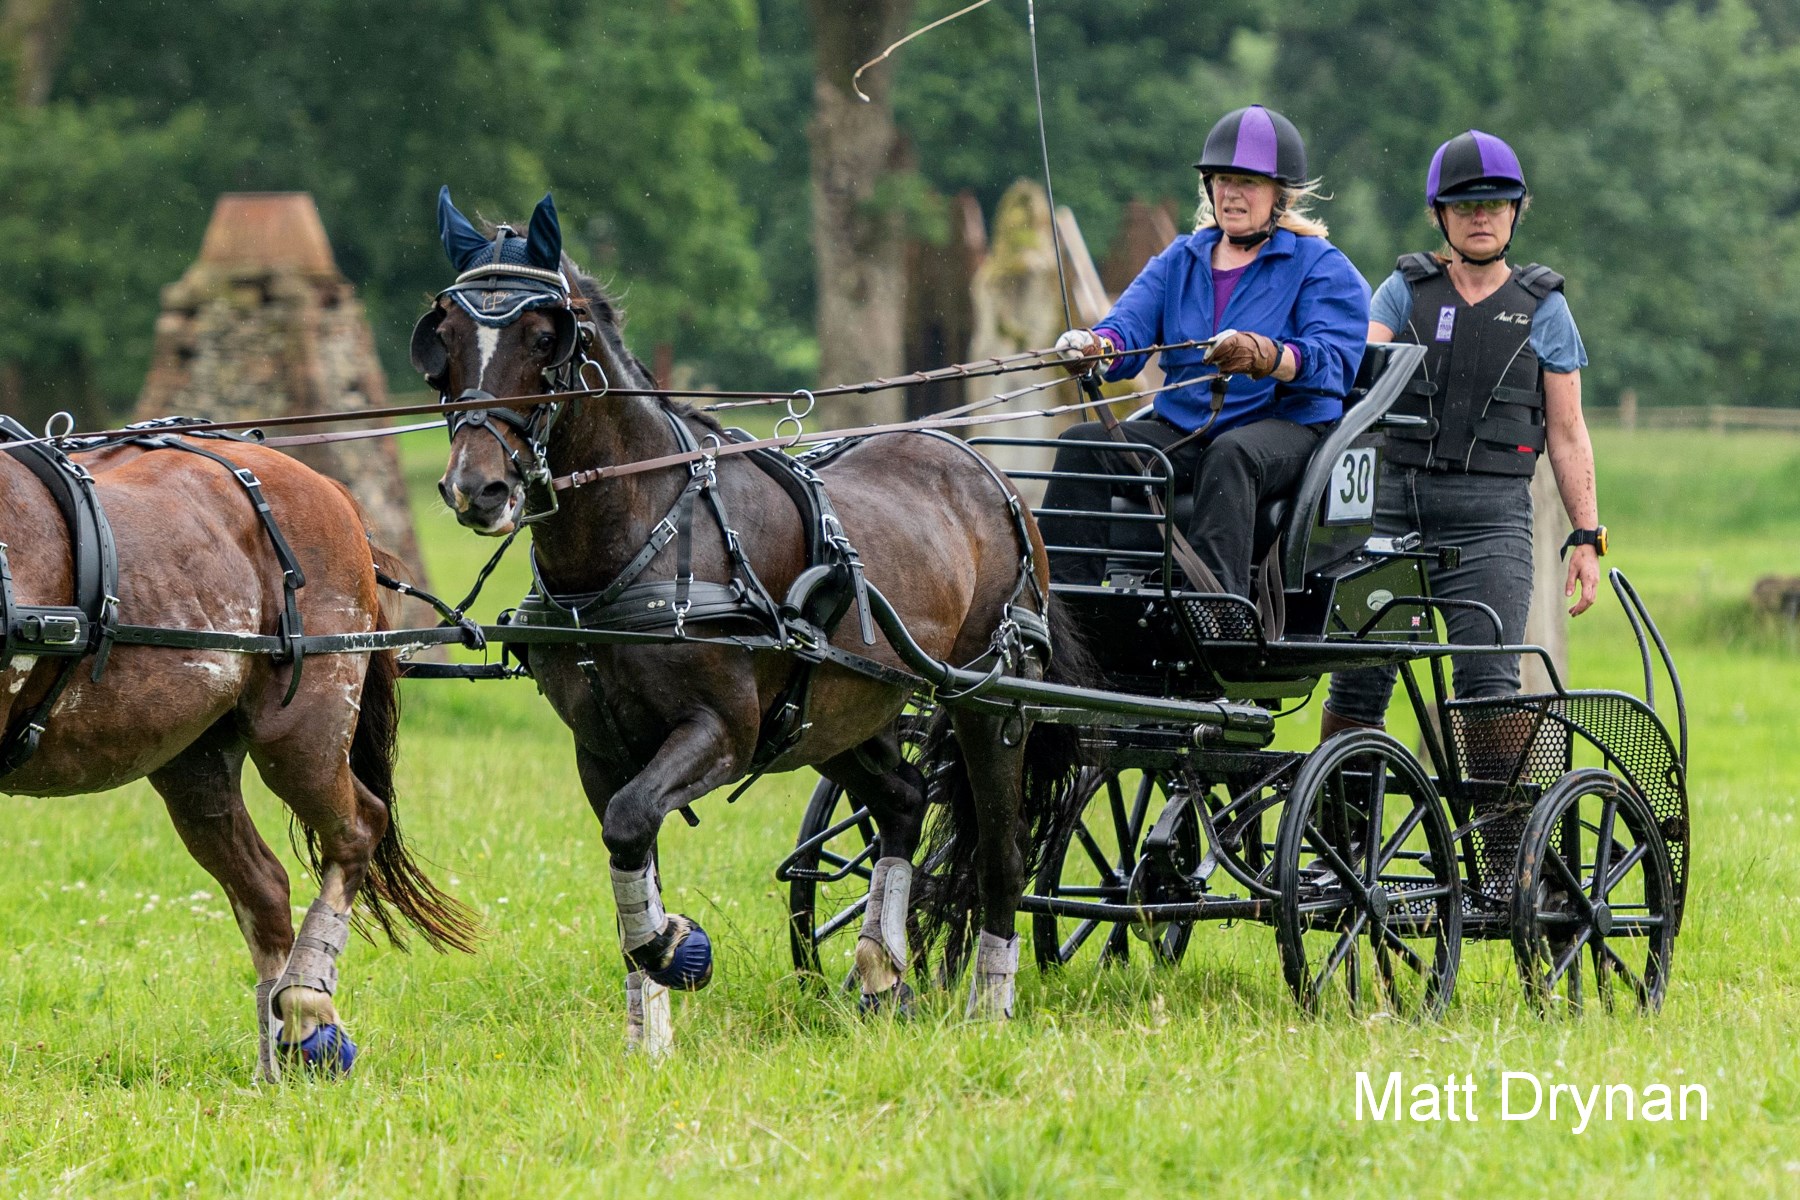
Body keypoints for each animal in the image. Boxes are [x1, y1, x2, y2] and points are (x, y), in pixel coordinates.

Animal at [0, 431, 478, 1079]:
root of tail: (330, 492)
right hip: (194, 763)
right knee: (265, 886)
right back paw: (273, 1064)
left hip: (303, 733)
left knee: (358, 827)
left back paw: (306, 1007)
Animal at [421, 189, 1065, 1050]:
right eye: (448, 339)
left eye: (544, 337)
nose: (476, 489)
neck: (643, 534)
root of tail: (988, 474)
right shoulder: (600, 748)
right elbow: (628, 847)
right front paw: (649, 1029)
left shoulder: (722, 729)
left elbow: (632, 823)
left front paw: (674, 948)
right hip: (840, 710)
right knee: (901, 800)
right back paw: (880, 971)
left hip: (990, 703)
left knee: (1003, 852)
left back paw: (988, 1007)